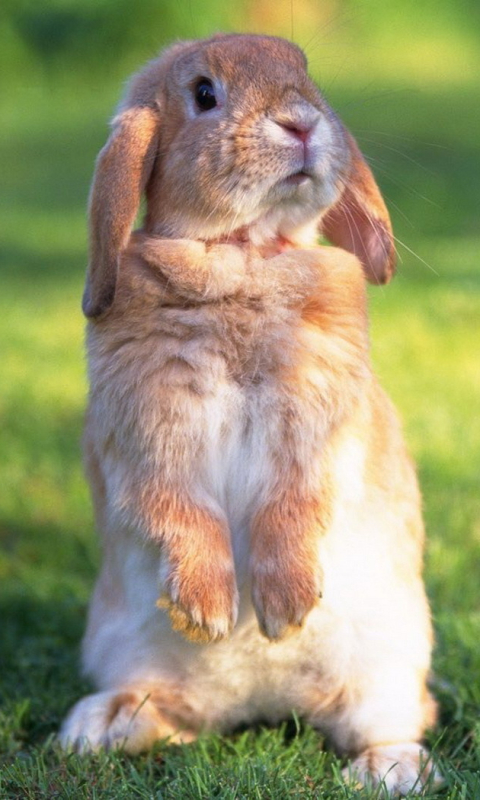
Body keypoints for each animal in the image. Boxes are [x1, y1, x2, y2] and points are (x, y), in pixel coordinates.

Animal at [58, 36, 440, 792]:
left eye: (306, 73)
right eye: (204, 94)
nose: (302, 123)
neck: (241, 254)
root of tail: (262, 704)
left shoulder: (317, 430)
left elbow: (292, 505)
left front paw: (286, 609)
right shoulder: (149, 435)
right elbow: (180, 509)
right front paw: (209, 611)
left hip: (388, 666)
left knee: (394, 720)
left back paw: (388, 770)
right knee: (171, 714)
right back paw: (100, 726)